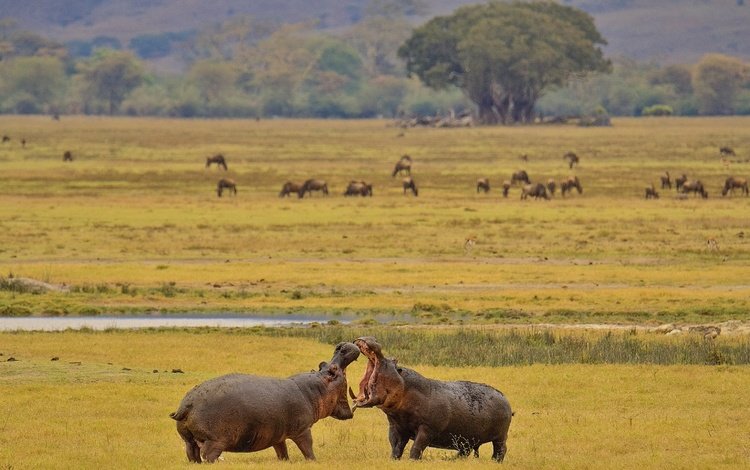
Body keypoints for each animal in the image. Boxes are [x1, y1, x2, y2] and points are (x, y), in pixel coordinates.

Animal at [173, 342, 362, 462]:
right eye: (332, 370)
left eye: (322, 364)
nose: (341, 346)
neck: (316, 389)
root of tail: (187, 404)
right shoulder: (303, 430)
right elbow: (308, 447)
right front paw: (314, 461)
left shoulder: (278, 435)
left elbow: (282, 450)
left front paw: (285, 462)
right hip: (215, 441)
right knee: (208, 455)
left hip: (188, 440)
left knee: (192, 454)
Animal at [350, 336, 516, 460]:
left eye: (394, 361)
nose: (373, 338)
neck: (405, 387)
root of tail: (505, 398)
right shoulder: (396, 427)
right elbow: (396, 447)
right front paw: (394, 459)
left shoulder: (427, 429)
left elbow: (416, 448)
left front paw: (412, 461)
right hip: (467, 438)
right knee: (465, 451)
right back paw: (454, 460)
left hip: (500, 436)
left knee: (501, 450)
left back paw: (495, 462)